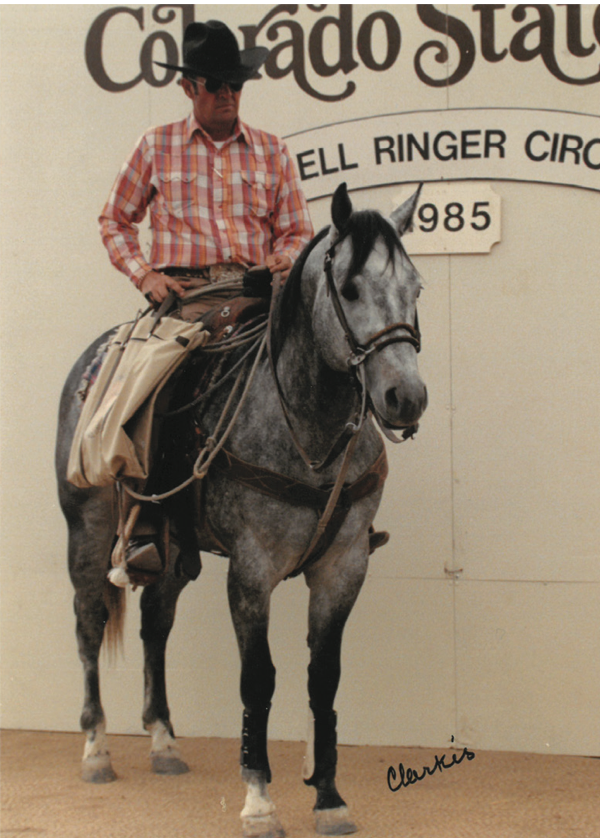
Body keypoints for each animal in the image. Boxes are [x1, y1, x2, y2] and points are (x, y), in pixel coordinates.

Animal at [55, 182, 428, 837]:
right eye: (350, 288)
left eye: (416, 288)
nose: (405, 397)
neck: (306, 428)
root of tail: (91, 362)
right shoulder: (252, 571)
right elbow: (259, 679)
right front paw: (259, 800)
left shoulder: (344, 566)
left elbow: (323, 678)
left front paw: (329, 797)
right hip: (88, 527)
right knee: (89, 622)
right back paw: (96, 749)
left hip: (170, 547)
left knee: (155, 623)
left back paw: (163, 742)